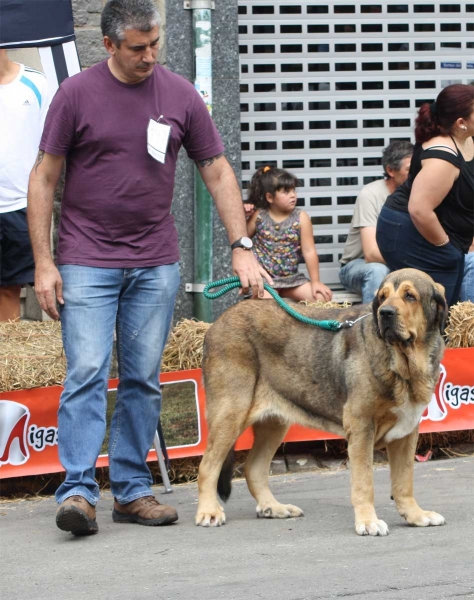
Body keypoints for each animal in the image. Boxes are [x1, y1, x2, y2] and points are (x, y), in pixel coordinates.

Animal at [195, 268, 448, 536]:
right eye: (382, 297)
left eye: (410, 296)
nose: (385, 313)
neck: (404, 362)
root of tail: (216, 324)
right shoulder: (361, 426)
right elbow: (364, 482)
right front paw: (368, 521)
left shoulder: (406, 433)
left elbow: (404, 482)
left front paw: (416, 515)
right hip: (231, 412)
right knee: (208, 467)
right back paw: (209, 511)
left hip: (274, 423)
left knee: (253, 468)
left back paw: (273, 507)